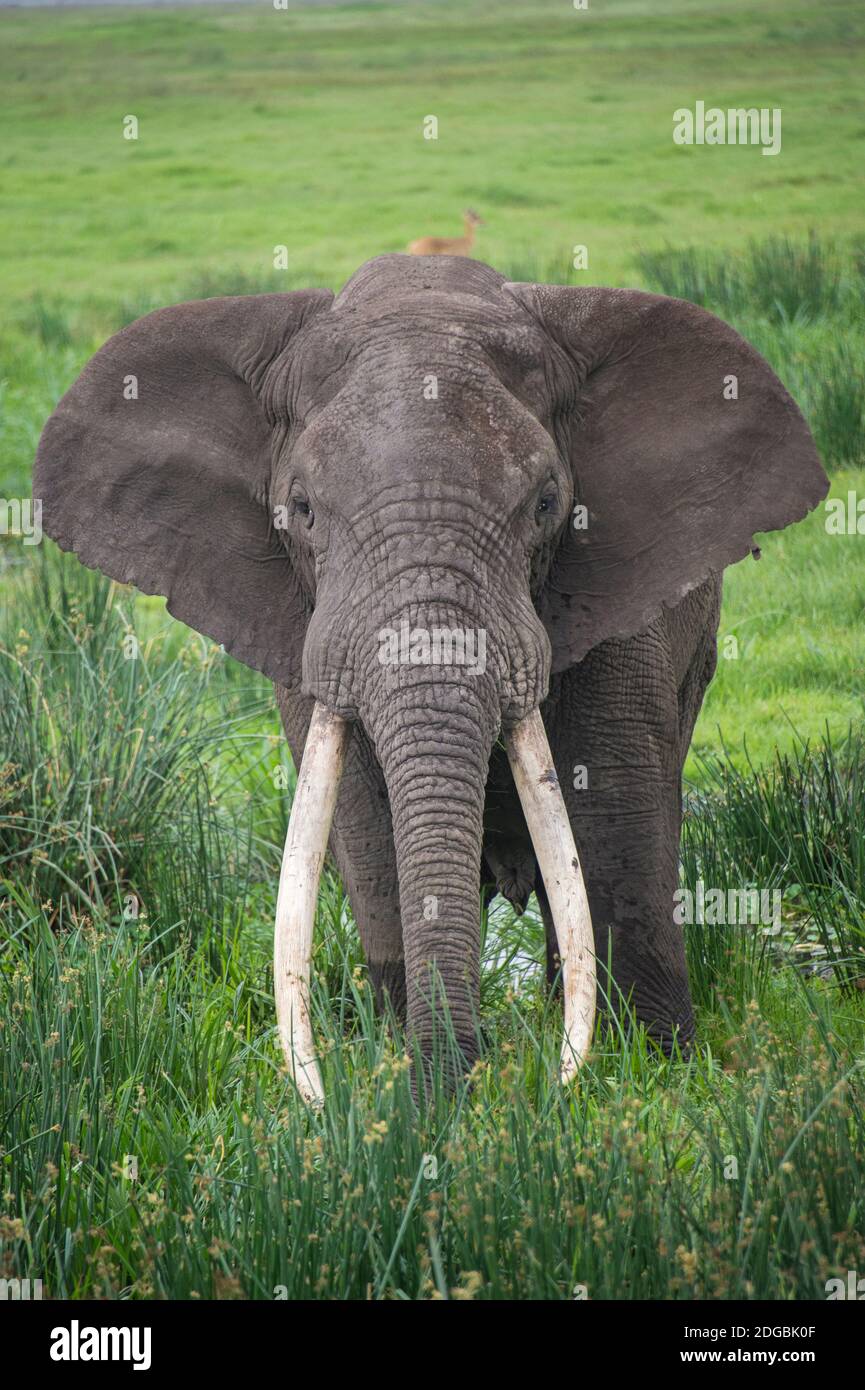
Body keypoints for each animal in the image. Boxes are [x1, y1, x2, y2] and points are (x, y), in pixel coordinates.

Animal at [33, 253, 828, 1101]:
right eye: (300, 509)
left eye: (546, 503)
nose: (459, 1092)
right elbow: (360, 810)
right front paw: (394, 1075)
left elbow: (610, 797)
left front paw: (649, 1072)